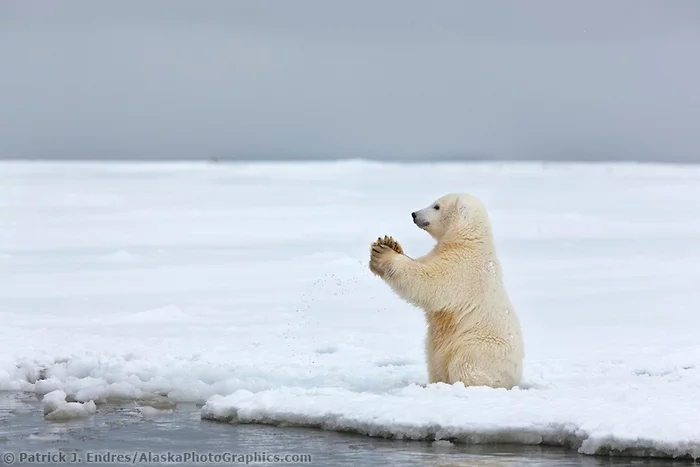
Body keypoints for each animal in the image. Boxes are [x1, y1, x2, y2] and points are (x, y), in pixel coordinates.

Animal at [370, 194, 524, 392]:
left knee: (466, 365)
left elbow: (428, 282)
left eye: (436, 206)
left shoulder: (462, 266)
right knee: (434, 361)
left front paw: (383, 254)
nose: (414, 214)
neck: (469, 239)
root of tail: (516, 378)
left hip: (478, 346)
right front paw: (390, 243)